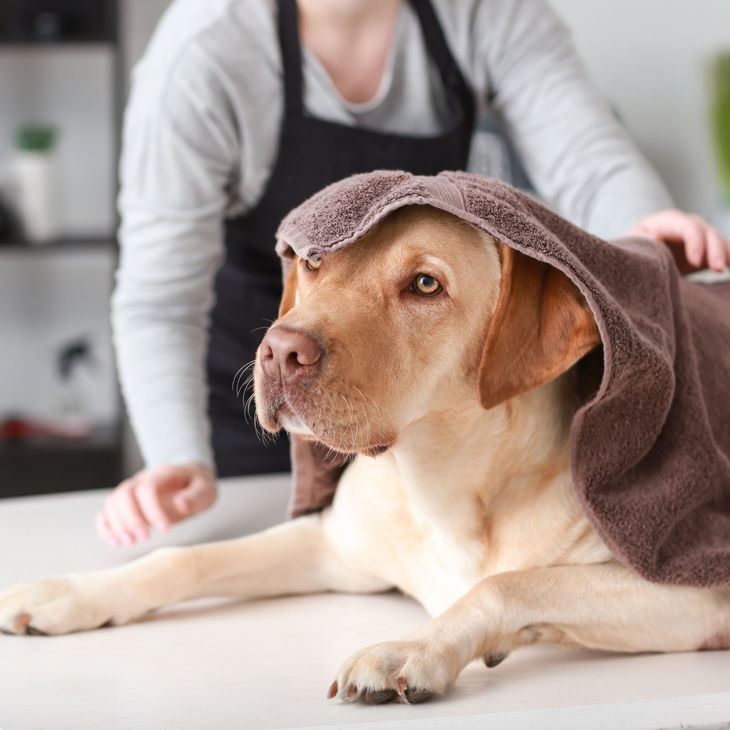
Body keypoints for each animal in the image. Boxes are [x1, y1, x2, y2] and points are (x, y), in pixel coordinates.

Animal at [1, 208, 728, 704]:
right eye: (315, 263)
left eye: (426, 285)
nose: (279, 351)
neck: (443, 486)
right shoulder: (333, 547)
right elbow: (185, 557)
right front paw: (71, 593)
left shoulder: (695, 587)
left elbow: (509, 582)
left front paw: (412, 649)